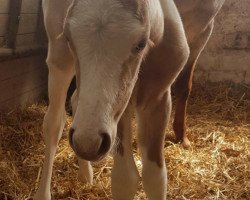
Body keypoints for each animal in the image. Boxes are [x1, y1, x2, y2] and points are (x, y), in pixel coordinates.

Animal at [34, 0, 188, 200]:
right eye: (68, 37)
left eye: (141, 43)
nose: (87, 144)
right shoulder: (120, 110)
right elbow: (126, 179)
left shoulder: (158, 98)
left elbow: (156, 177)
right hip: (59, 61)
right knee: (54, 123)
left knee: (75, 100)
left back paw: (86, 175)